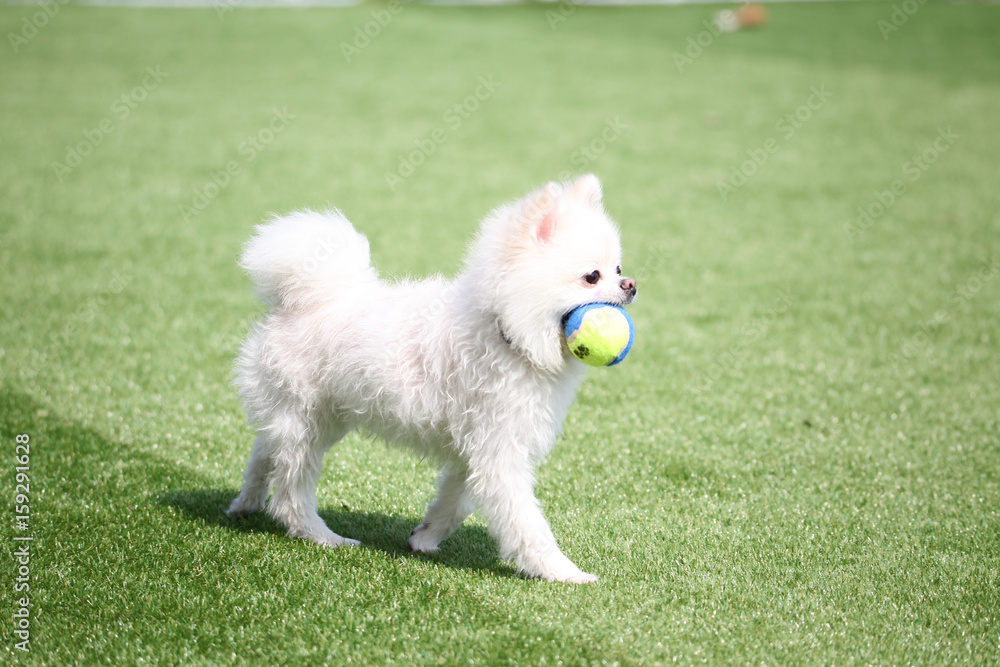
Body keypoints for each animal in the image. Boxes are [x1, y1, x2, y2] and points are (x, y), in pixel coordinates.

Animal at [227, 174, 636, 584]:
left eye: (617, 268)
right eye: (592, 277)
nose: (631, 284)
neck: (504, 331)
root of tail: (295, 299)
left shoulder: (476, 449)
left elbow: (455, 501)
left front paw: (425, 537)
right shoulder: (499, 451)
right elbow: (526, 523)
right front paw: (562, 571)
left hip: (319, 417)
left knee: (265, 451)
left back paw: (245, 504)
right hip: (305, 422)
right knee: (289, 495)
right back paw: (324, 536)